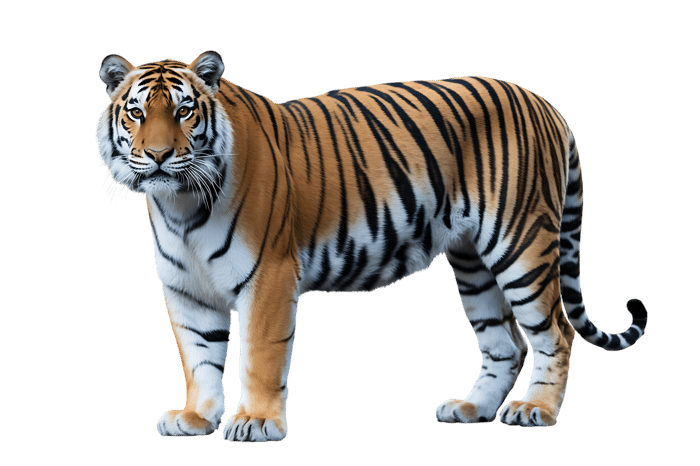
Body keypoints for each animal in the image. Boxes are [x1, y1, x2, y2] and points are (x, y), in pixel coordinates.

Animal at [95, 50, 649, 442]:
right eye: (136, 113)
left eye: (185, 111)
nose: (159, 155)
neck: (181, 206)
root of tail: (543, 102)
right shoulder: (186, 290)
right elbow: (199, 357)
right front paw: (196, 417)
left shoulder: (269, 275)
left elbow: (259, 355)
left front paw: (256, 422)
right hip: (474, 262)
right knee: (505, 342)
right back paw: (471, 409)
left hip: (521, 245)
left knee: (556, 333)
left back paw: (536, 410)